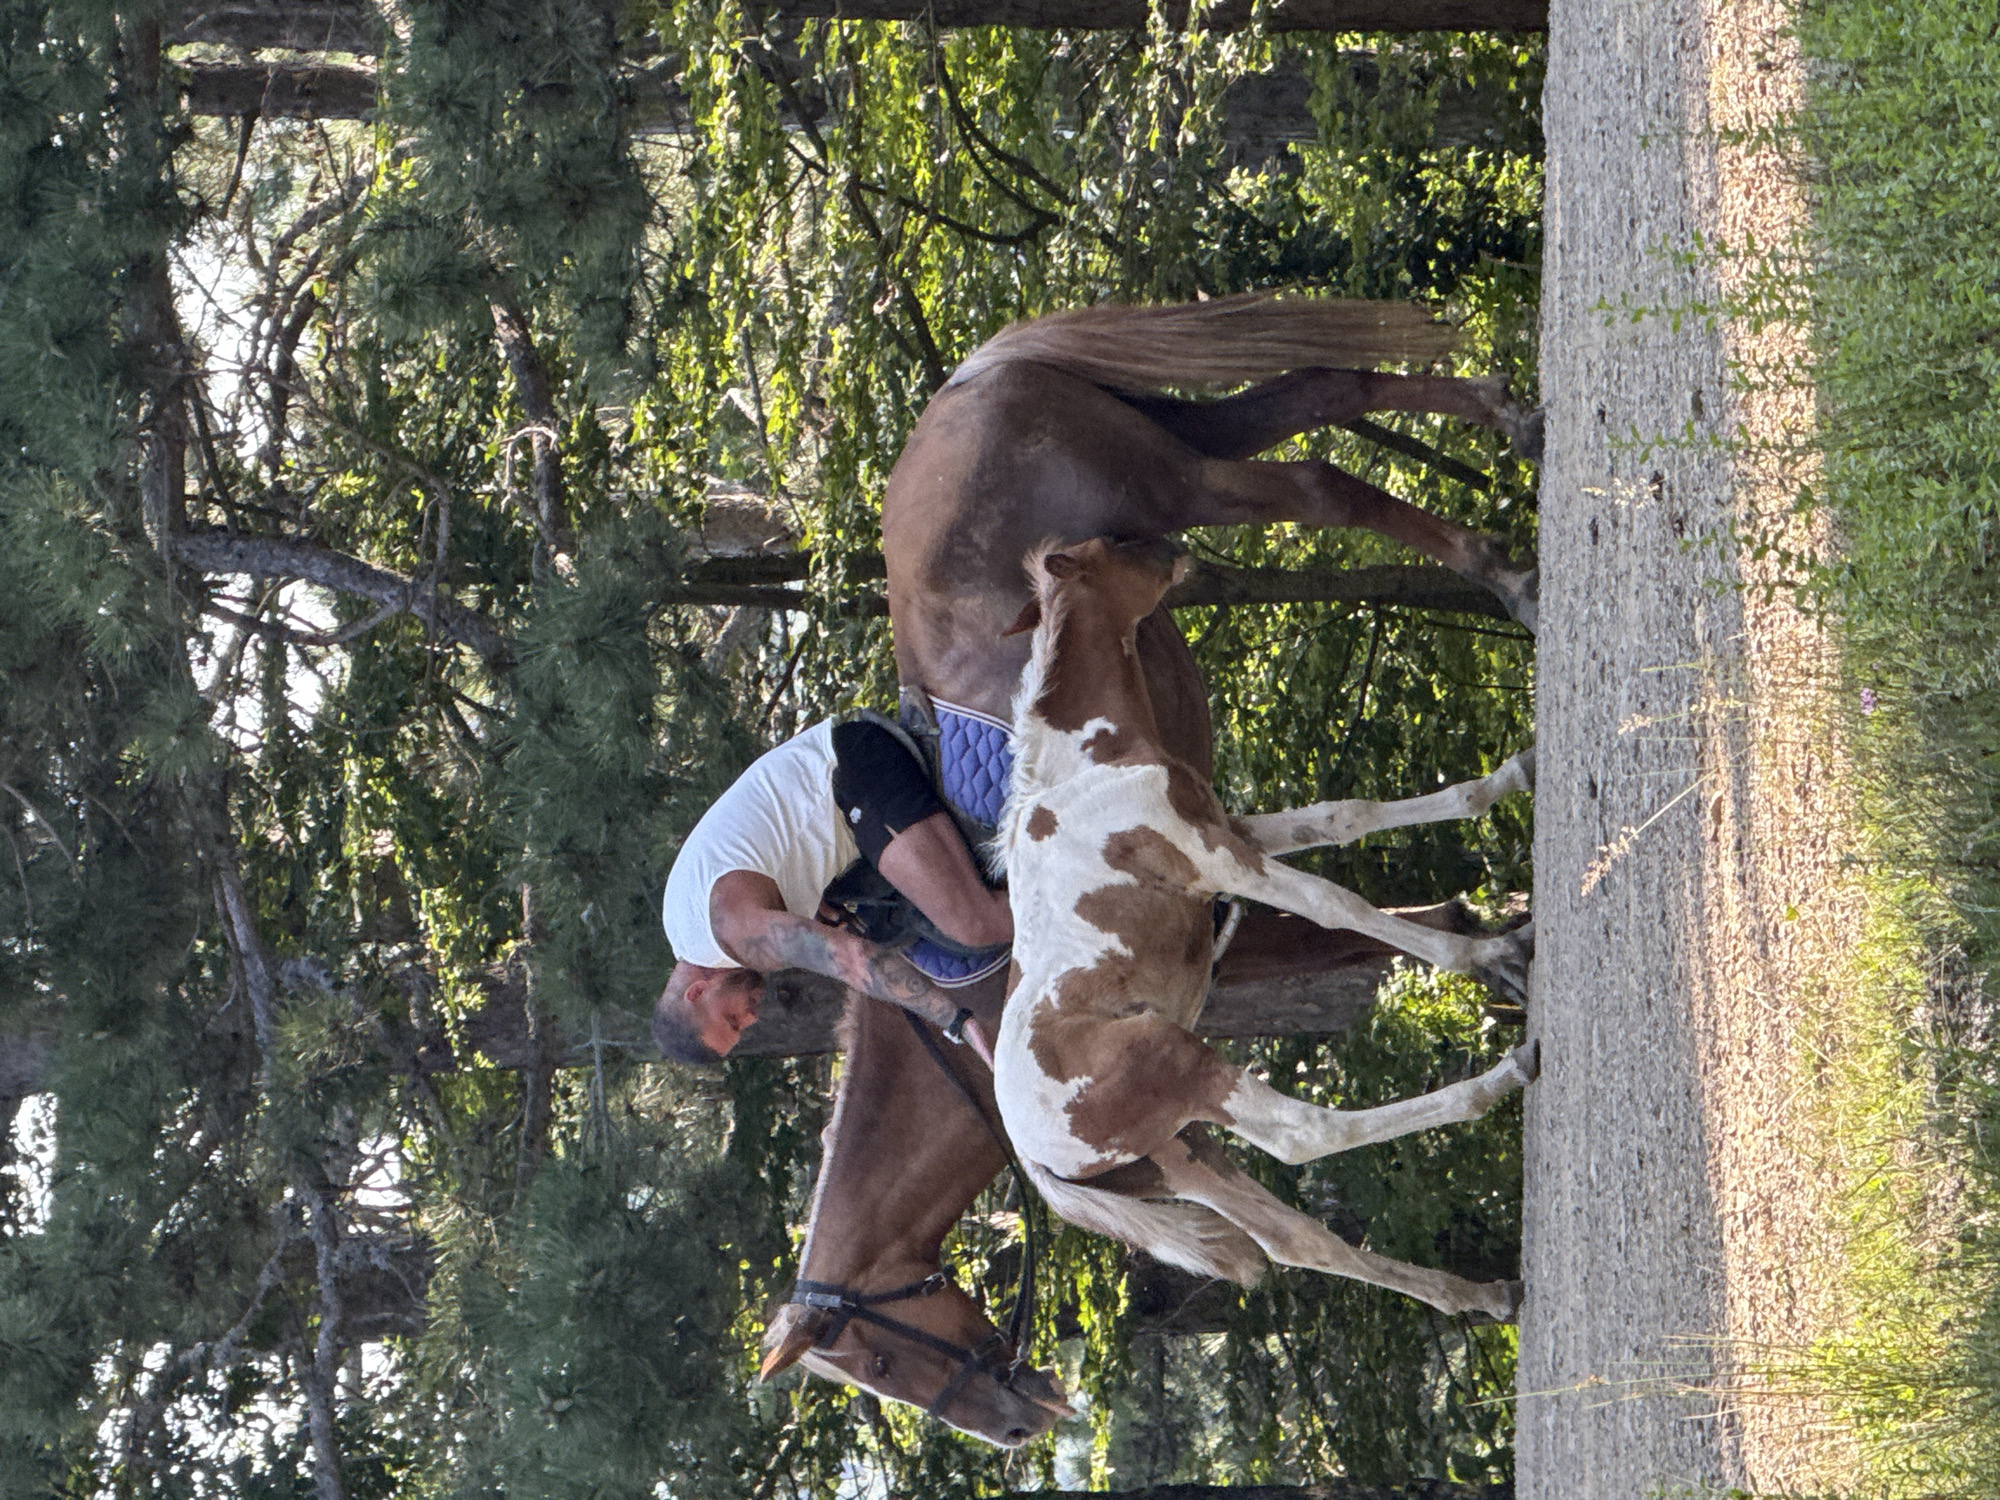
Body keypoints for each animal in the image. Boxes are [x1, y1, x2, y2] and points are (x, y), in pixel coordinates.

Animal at [992, 536, 1538, 1321]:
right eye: (1116, 546)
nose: (1177, 550)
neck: (1085, 767)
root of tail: (1033, 1159)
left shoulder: (1235, 829)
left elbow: (1348, 814)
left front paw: (1513, 775)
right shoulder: (1217, 859)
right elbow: (1338, 906)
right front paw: (1493, 952)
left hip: (1179, 1152)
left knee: (1298, 1239)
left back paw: (1487, 1294)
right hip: (1180, 1065)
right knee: (1305, 1136)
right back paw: (1501, 1078)